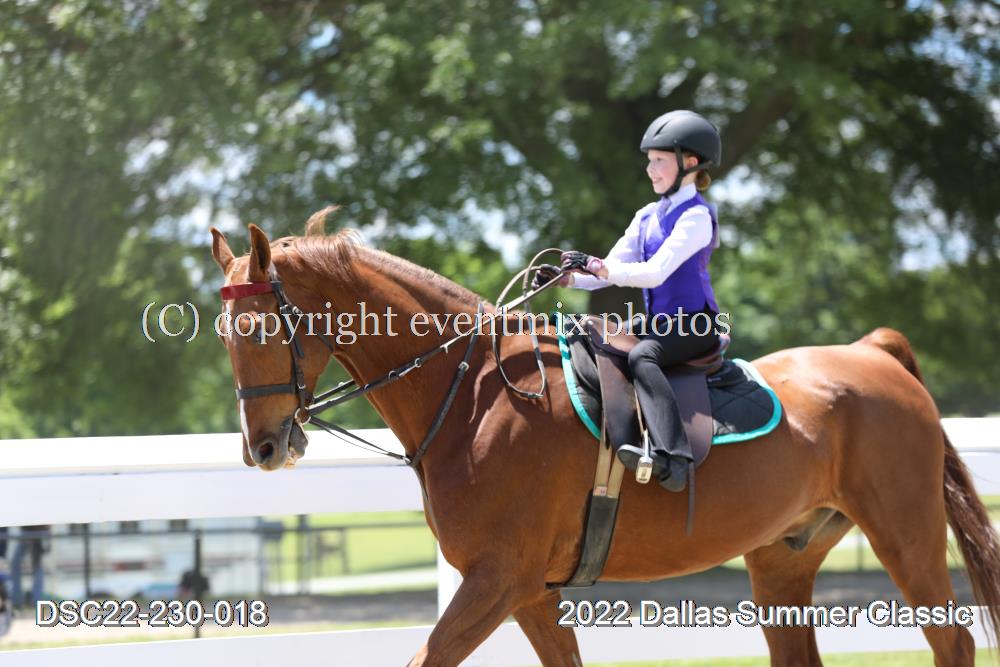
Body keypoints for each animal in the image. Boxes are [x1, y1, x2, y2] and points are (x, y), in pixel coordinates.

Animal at [210, 212, 1000, 667]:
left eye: (257, 329)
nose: (264, 449)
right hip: (783, 558)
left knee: (954, 640)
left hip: (905, 535)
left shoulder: (498, 580)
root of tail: (872, 353)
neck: (475, 395)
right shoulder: (528, 592)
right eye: (221, 333)